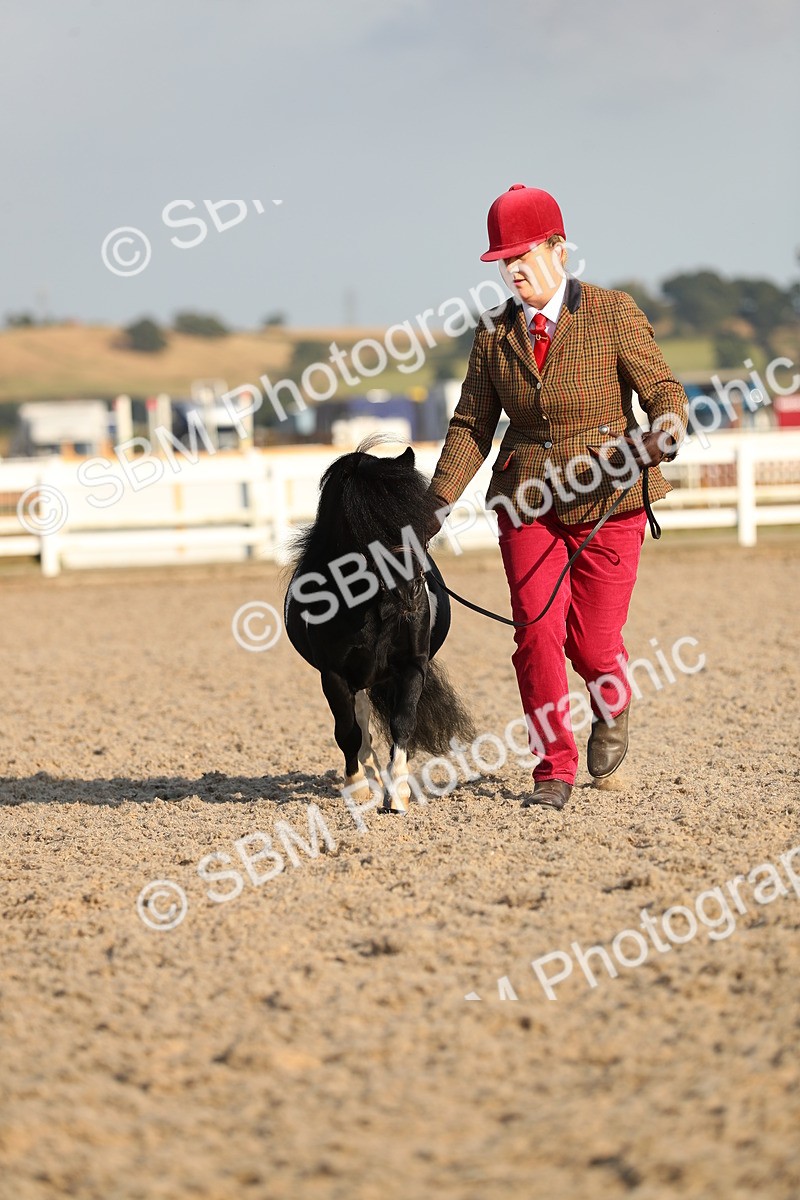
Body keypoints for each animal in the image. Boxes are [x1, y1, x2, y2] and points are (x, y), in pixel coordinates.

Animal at [283, 440, 474, 813]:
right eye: (365, 523)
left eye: (417, 519)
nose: (410, 589)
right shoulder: (333, 674)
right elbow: (347, 731)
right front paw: (358, 788)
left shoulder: (411, 665)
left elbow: (402, 723)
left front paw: (397, 795)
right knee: (360, 724)